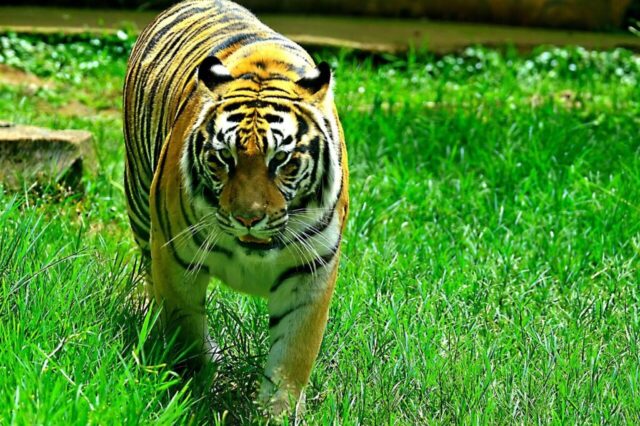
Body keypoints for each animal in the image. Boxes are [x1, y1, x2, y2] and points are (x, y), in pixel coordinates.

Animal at [122, 0, 349, 416]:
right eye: (223, 159)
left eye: (282, 161)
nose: (248, 218)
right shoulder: (176, 260)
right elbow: (186, 335)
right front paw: (193, 394)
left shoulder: (311, 271)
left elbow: (292, 356)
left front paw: (277, 414)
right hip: (140, 201)